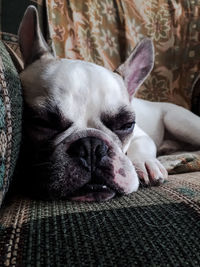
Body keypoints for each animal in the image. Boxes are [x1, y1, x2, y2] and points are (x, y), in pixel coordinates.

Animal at [17, 6, 200, 202]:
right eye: (42, 122)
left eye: (127, 124)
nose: (91, 146)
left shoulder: (141, 135)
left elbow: (141, 145)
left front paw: (145, 163)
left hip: (178, 121)